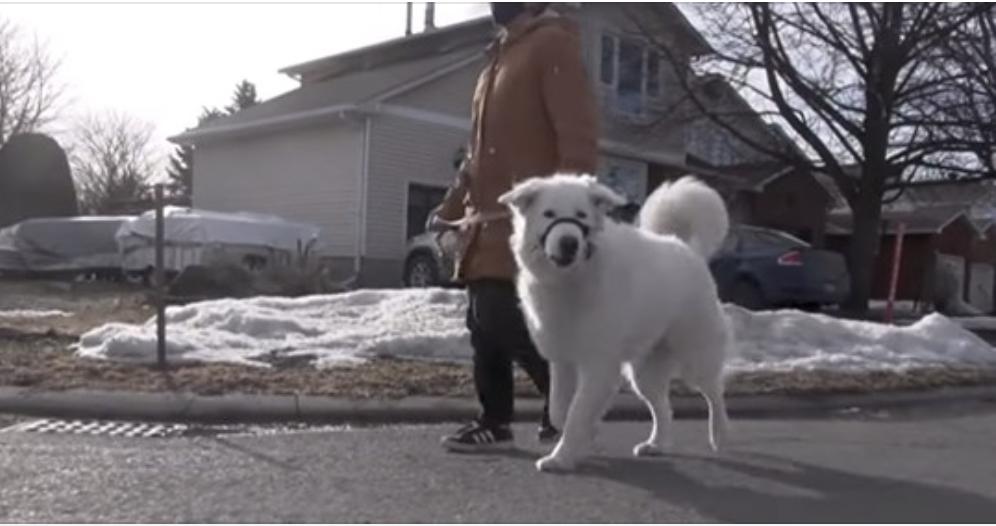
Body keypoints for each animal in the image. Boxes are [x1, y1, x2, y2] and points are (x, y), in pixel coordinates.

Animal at [498, 173, 732, 474]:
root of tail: (687, 248)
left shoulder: (599, 365)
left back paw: (720, 436)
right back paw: (657, 444)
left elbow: (576, 412)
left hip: (695, 356)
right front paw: (588, 435)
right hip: (643, 373)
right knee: (663, 407)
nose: (569, 242)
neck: (574, 278)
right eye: (548, 214)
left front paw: (561, 458)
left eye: (581, 215)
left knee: (714, 393)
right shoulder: (563, 362)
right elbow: (560, 410)